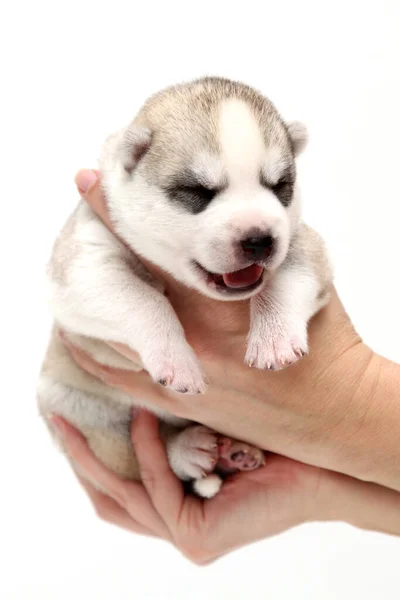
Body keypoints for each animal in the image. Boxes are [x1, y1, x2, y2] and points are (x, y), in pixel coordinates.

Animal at [37, 77, 332, 500]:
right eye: (198, 192)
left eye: (280, 187)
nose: (260, 239)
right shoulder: (85, 261)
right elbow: (141, 299)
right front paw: (177, 360)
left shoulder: (301, 241)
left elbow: (289, 277)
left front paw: (273, 337)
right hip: (76, 408)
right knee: (143, 453)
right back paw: (187, 450)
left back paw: (232, 454)